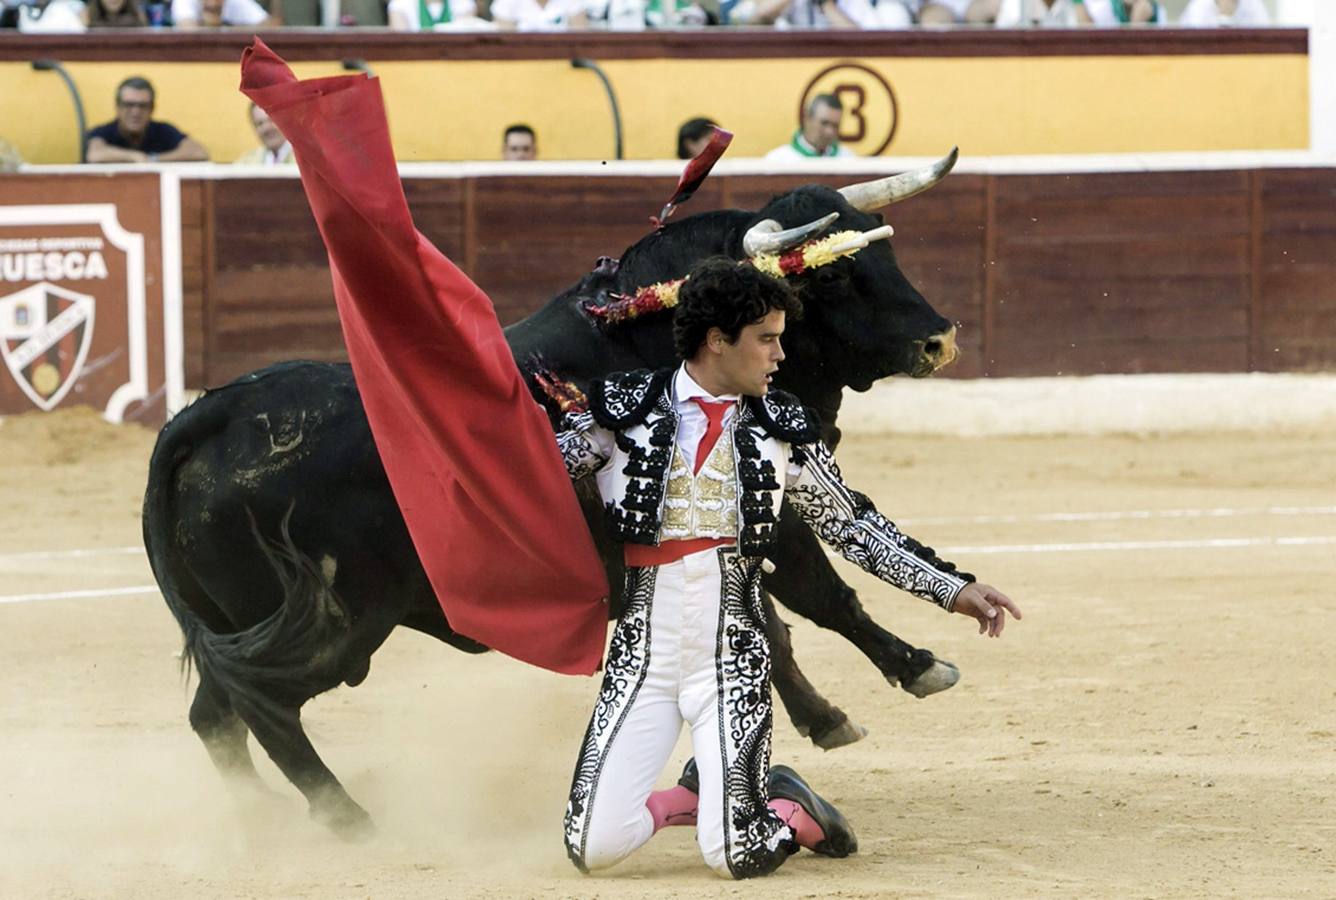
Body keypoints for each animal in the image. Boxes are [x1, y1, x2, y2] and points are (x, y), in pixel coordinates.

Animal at [143, 166, 961, 833]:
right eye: (832, 276)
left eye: (886, 255)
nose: (938, 340)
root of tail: (210, 415)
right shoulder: (765, 508)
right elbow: (819, 594)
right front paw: (918, 666)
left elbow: (768, 623)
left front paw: (827, 715)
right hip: (334, 620)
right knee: (266, 705)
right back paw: (346, 818)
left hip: (246, 621)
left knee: (215, 712)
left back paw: (263, 817)